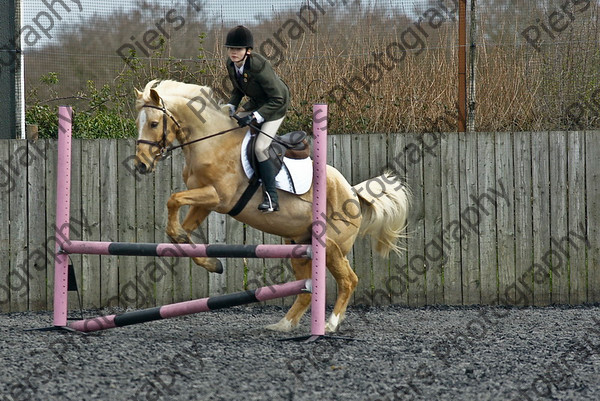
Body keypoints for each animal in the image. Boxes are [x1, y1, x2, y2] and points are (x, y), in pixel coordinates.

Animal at [133, 79, 410, 332]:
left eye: (154, 123)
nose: (141, 165)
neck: (210, 142)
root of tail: (352, 191)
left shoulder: (217, 197)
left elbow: (173, 199)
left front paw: (194, 247)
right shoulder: (205, 202)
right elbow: (180, 228)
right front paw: (210, 261)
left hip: (330, 246)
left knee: (348, 280)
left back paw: (330, 324)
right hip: (298, 245)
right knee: (306, 288)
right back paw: (284, 324)